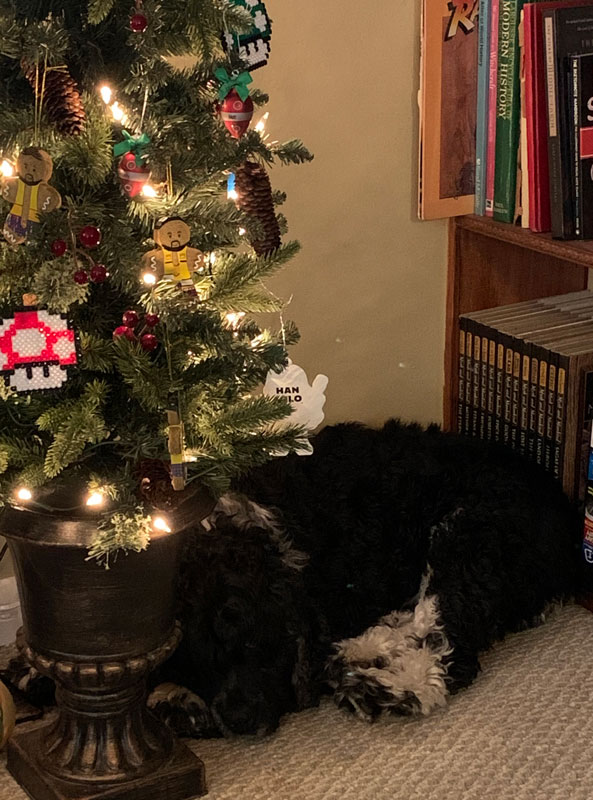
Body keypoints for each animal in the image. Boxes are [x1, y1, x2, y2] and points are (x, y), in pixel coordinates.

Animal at [145, 422, 584, 740]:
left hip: (469, 536)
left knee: (445, 648)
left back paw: (376, 688)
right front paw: (176, 699)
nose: (238, 720)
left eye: (254, 642)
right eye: (197, 660)